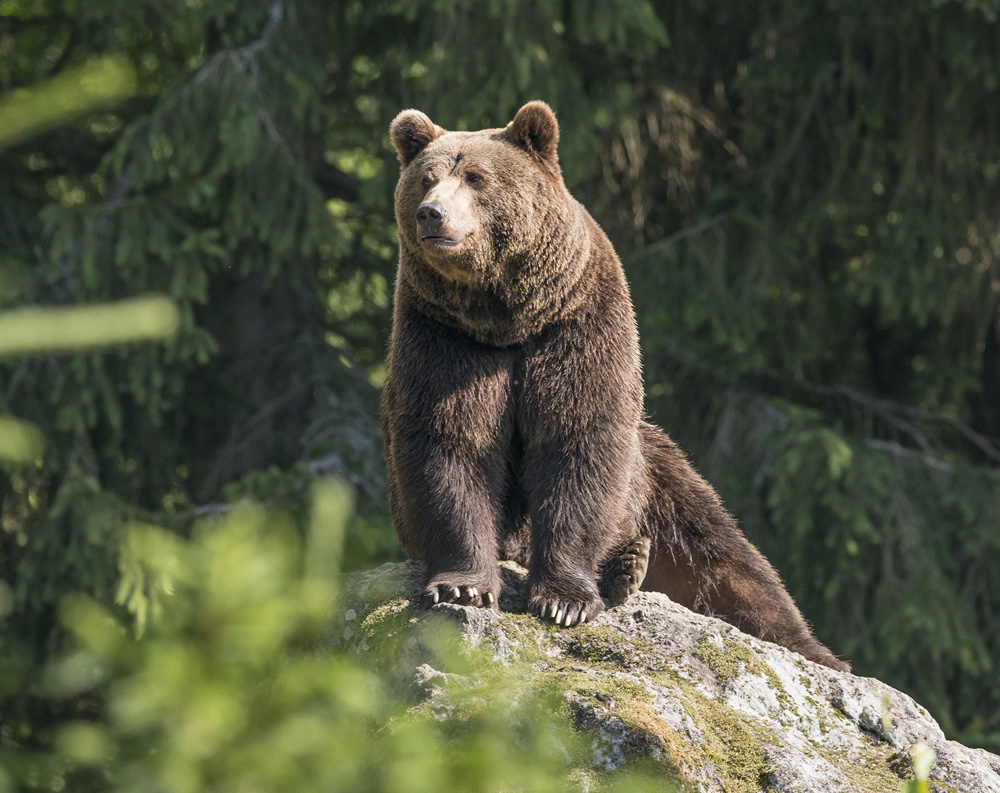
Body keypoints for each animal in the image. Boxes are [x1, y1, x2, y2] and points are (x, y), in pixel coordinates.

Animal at [381, 100, 849, 672]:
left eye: (476, 178)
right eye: (426, 178)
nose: (432, 213)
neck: (506, 317)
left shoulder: (577, 326)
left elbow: (580, 442)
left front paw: (564, 600)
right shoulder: (445, 339)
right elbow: (451, 443)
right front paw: (463, 587)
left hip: (657, 471)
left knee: (723, 554)